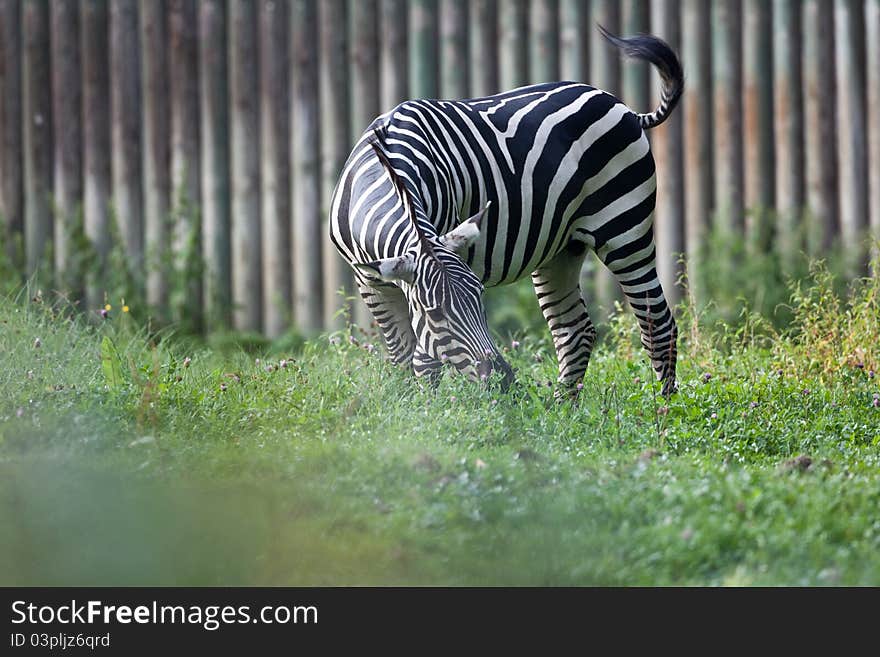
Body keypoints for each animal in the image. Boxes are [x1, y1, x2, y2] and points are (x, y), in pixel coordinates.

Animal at [330, 28, 680, 398]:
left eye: (480, 296)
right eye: (435, 314)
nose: (502, 380)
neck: (384, 168)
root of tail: (621, 106)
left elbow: (424, 362)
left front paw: (430, 409)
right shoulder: (370, 282)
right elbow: (403, 358)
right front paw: (410, 407)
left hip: (625, 229)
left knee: (658, 324)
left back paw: (663, 409)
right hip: (560, 247)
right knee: (574, 330)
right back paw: (562, 408)